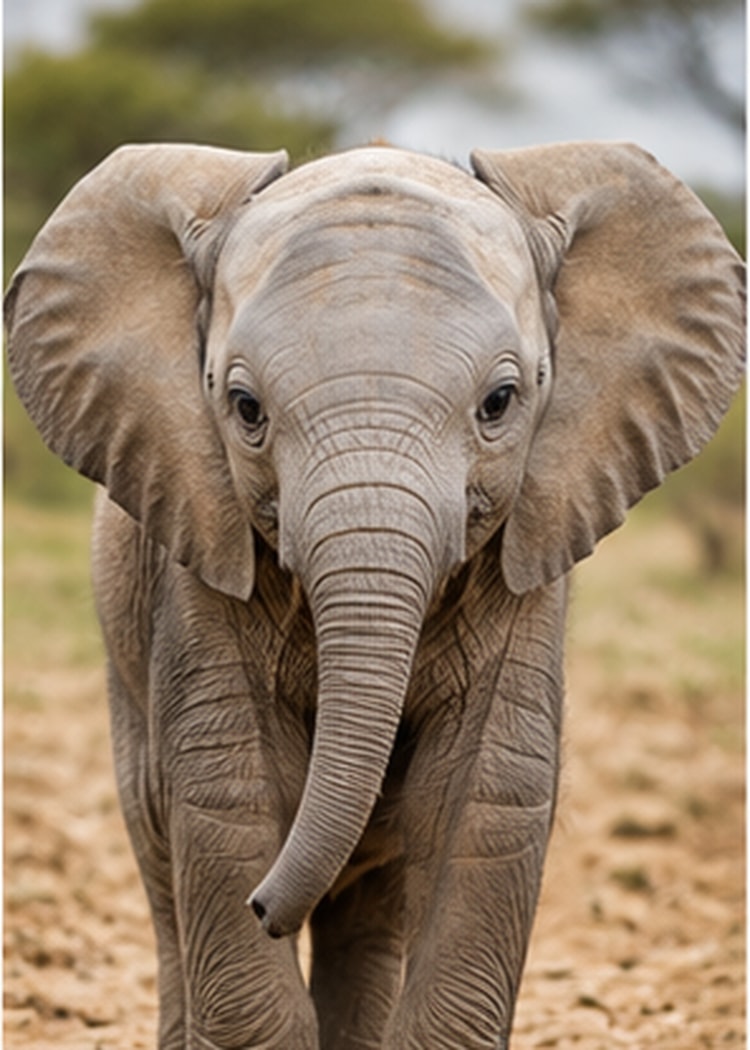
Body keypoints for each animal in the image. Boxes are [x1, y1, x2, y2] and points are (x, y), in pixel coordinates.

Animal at [5, 140, 744, 1050]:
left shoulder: (525, 560)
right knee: (161, 853)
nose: (263, 907)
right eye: (243, 407)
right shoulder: (196, 553)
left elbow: (482, 798)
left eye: (501, 402)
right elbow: (227, 794)